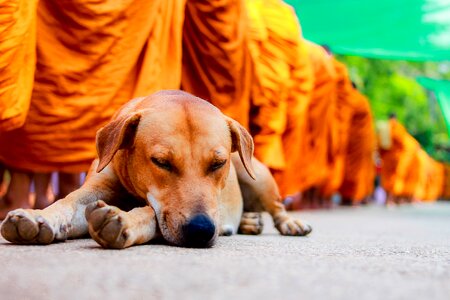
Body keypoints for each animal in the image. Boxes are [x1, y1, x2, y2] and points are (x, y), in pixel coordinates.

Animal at [0, 91, 312, 248]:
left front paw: (124, 221)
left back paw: (289, 223)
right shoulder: (97, 186)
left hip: (254, 174)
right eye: (161, 162)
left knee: (276, 207)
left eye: (217, 164)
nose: (201, 230)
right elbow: (67, 202)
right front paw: (38, 216)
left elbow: (151, 213)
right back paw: (248, 222)